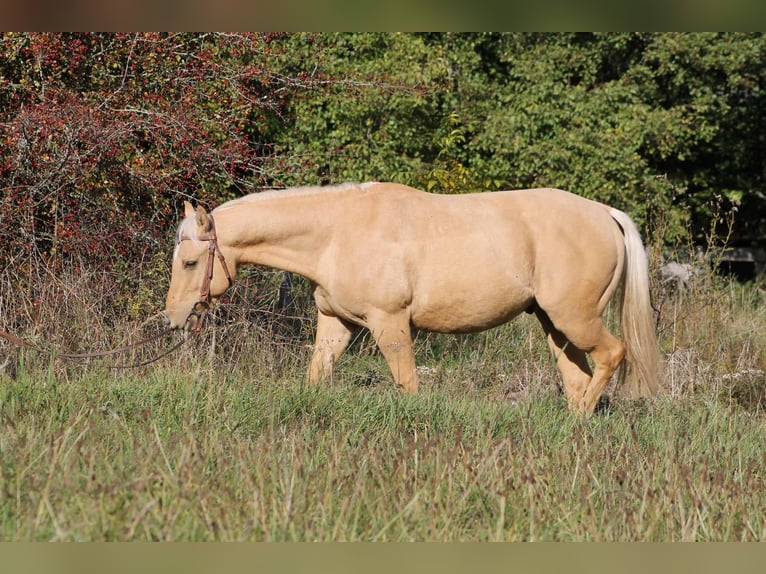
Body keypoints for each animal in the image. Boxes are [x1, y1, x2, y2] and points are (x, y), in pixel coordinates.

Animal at [163, 182, 661, 415]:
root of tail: (605, 214)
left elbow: (408, 385)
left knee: (612, 355)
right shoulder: (336, 323)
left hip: (575, 318)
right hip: (553, 323)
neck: (336, 232)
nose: (172, 319)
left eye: (189, 262)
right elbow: (316, 377)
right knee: (578, 379)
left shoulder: (390, 324)